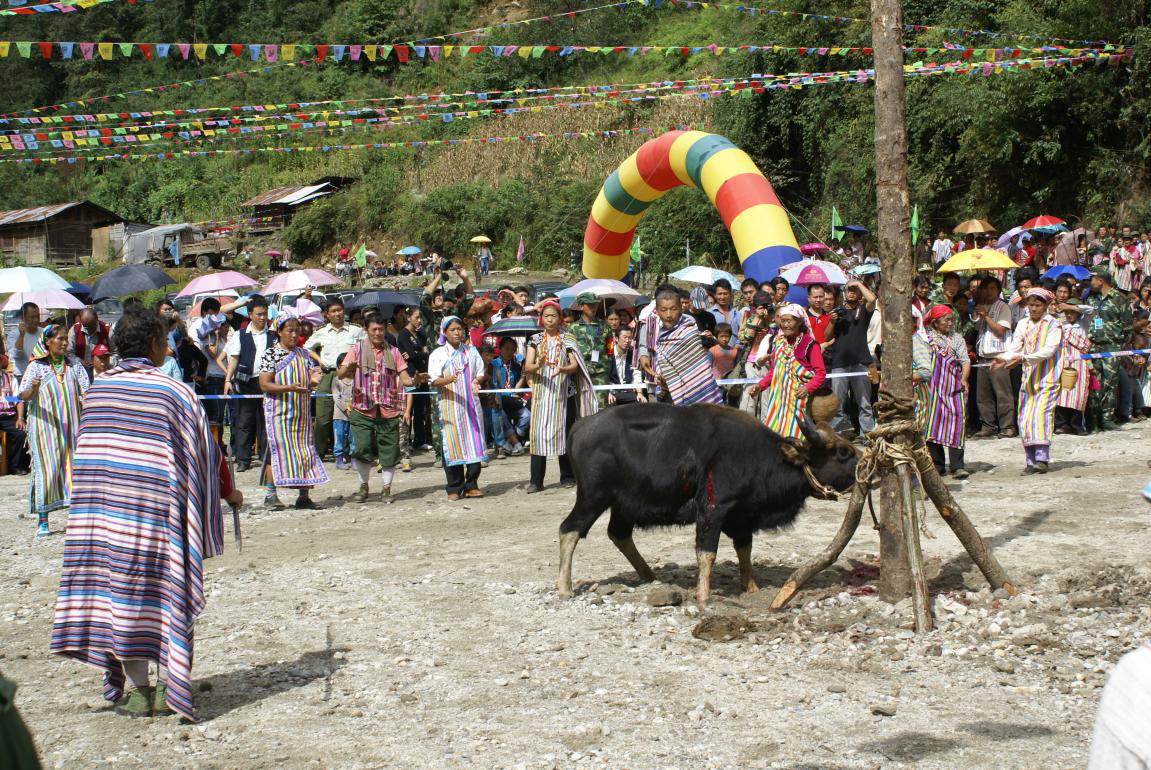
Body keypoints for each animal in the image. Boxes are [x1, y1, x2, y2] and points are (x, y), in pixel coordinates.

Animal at [557, 402, 859, 607]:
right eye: (843, 452)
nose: (865, 463)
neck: (764, 456)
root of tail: (580, 426)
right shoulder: (713, 510)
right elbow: (707, 553)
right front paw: (703, 596)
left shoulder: (742, 516)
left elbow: (744, 549)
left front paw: (752, 587)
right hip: (593, 498)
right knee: (569, 529)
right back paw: (565, 588)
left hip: (622, 505)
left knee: (618, 534)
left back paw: (649, 576)